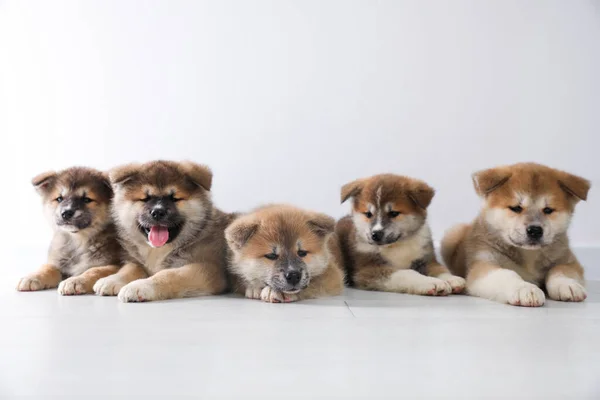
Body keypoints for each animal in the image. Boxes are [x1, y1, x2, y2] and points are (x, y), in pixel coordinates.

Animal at [17, 167, 122, 296]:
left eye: (86, 199)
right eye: (59, 199)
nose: (66, 213)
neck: (78, 242)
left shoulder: (115, 264)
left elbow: (95, 270)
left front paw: (75, 281)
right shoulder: (59, 263)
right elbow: (47, 268)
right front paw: (32, 277)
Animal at [92, 161, 233, 302]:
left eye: (174, 198)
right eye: (145, 199)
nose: (158, 212)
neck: (158, 251)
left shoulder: (208, 268)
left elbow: (169, 274)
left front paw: (140, 286)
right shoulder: (137, 262)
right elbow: (129, 268)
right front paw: (111, 279)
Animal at [440, 162, 592, 306]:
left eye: (548, 210)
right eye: (516, 208)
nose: (535, 230)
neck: (529, 255)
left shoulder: (567, 260)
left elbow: (560, 270)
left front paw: (567, 285)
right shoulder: (484, 262)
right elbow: (507, 274)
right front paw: (524, 288)